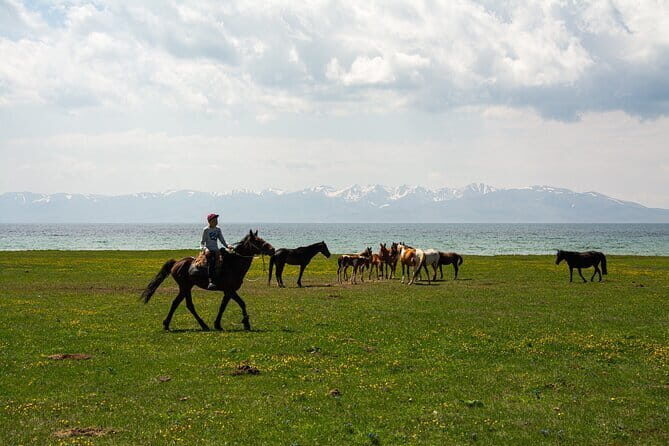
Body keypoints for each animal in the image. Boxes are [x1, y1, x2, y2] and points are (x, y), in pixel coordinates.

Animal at [140, 230, 275, 331]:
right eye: (258, 241)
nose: (273, 249)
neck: (233, 264)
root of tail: (177, 263)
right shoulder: (230, 291)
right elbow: (241, 303)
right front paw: (246, 323)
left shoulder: (228, 292)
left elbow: (223, 306)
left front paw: (218, 324)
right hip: (185, 287)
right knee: (186, 304)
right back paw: (202, 325)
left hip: (186, 287)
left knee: (178, 303)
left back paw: (168, 324)